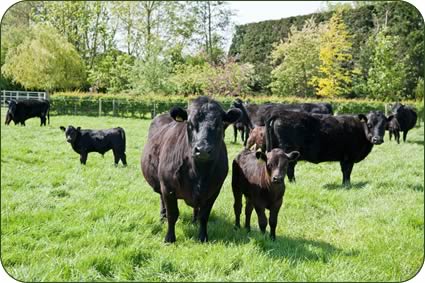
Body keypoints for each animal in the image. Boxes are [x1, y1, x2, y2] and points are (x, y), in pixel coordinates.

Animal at [141, 96, 240, 243]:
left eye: (219, 125)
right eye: (190, 124)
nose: (202, 150)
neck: (199, 172)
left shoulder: (214, 190)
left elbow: (204, 216)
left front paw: (203, 237)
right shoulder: (168, 187)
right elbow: (173, 214)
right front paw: (169, 238)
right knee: (162, 201)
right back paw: (162, 217)